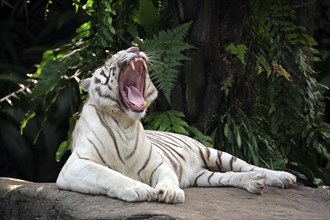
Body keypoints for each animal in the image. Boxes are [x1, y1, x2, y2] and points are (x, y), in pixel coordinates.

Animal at [56, 46, 296, 203]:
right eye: (109, 61)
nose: (135, 47)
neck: (125, 123)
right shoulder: (76, 165)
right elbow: (109, 175)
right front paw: (139, 188)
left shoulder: (159, 164)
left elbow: (167, 177)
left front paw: (171, 192)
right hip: (204, 177)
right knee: (227, 176)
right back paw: (254, 183)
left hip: (214, 152)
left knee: (248, 166)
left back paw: (281, 177)